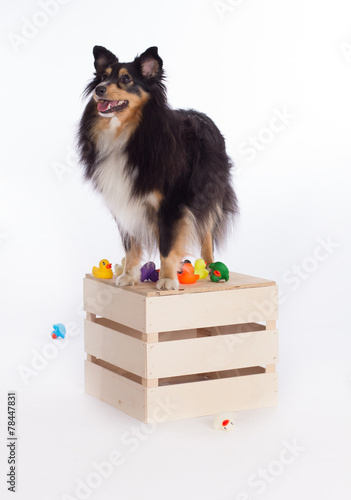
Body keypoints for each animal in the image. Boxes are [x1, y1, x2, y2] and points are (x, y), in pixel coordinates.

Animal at [79, 47, 239, 292]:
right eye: (103, 76)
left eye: (126, 79)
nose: (99, 89)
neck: (129, 132)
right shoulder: (126, 201)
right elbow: (131, 244)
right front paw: (129, 275)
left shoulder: (172, 204)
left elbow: (167, 244)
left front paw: (167, 279)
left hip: (206, 194)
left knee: (206, 233)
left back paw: (213, 268)